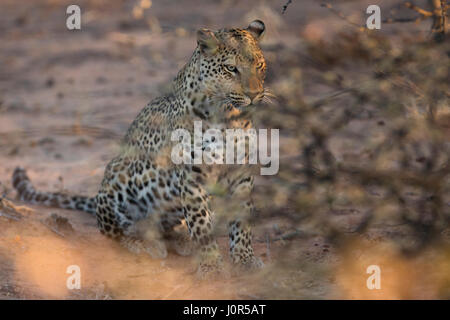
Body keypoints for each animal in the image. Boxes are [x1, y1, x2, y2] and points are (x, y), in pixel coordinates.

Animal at [11, 19, 270, 278]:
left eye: (259, 66)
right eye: (231, 68)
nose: (255, 95)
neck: (228, 115)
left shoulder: (241, 175)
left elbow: (242, 222)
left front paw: (245, 259)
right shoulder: (191, 178)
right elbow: (201, 225)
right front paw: (212, 266)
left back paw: (180, 240)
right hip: (119, 182)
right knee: (113, 230)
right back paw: (145, 244)